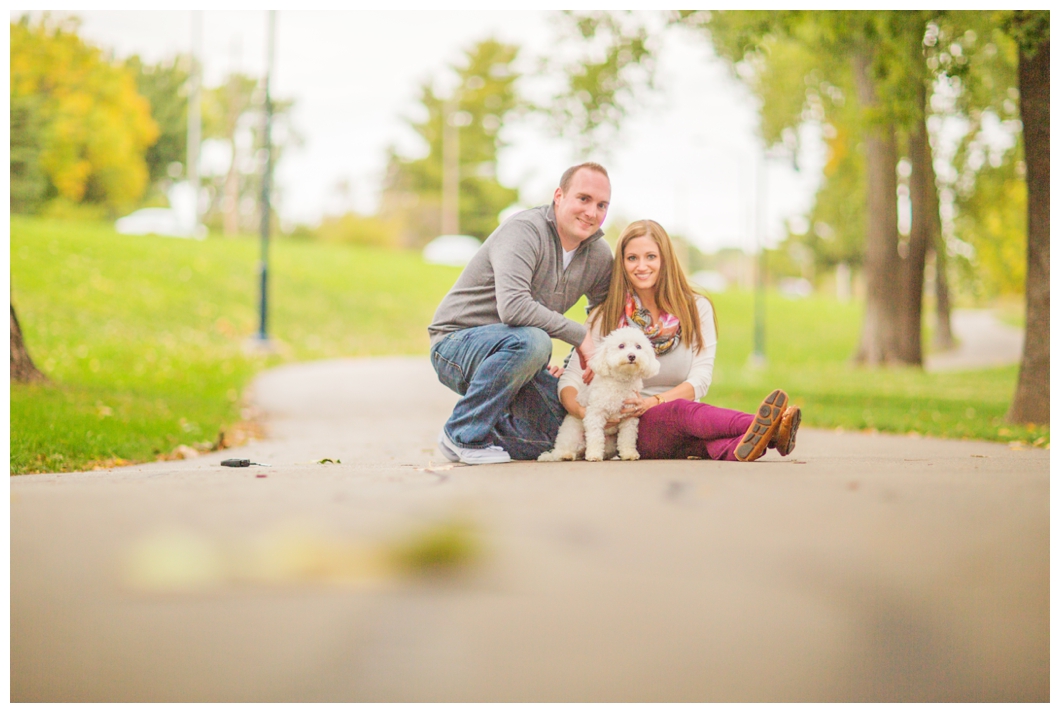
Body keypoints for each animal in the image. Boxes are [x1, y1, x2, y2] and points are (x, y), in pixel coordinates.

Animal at [542, 326, 657, 461]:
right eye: (621, 346)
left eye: (638, 346)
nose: (632, 356)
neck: (620, 380)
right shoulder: (595, 413)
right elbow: (595, 436)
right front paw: (594, 455)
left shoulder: (629, 416)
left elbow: (627, 437)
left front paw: (629, 453)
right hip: (572, 434)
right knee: (563, 450)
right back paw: (566, 455)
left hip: (610, 443)